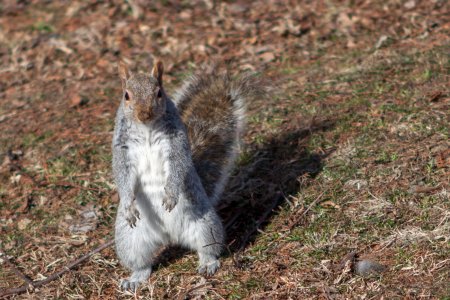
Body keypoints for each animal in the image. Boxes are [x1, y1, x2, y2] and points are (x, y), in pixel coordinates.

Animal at [111, 59, 264, 292]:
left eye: (159, 93)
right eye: (126, 95)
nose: (144, 114)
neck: (146, 128)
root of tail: (169, 236)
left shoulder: (177, 143)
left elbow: (178, 166)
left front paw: (171, 195)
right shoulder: (121, 149)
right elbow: (122, 174)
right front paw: (128, 205)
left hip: (204, 226)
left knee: (208, 249)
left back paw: (208, 264)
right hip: (130, 240)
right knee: (142, 264)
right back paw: (135, 278)